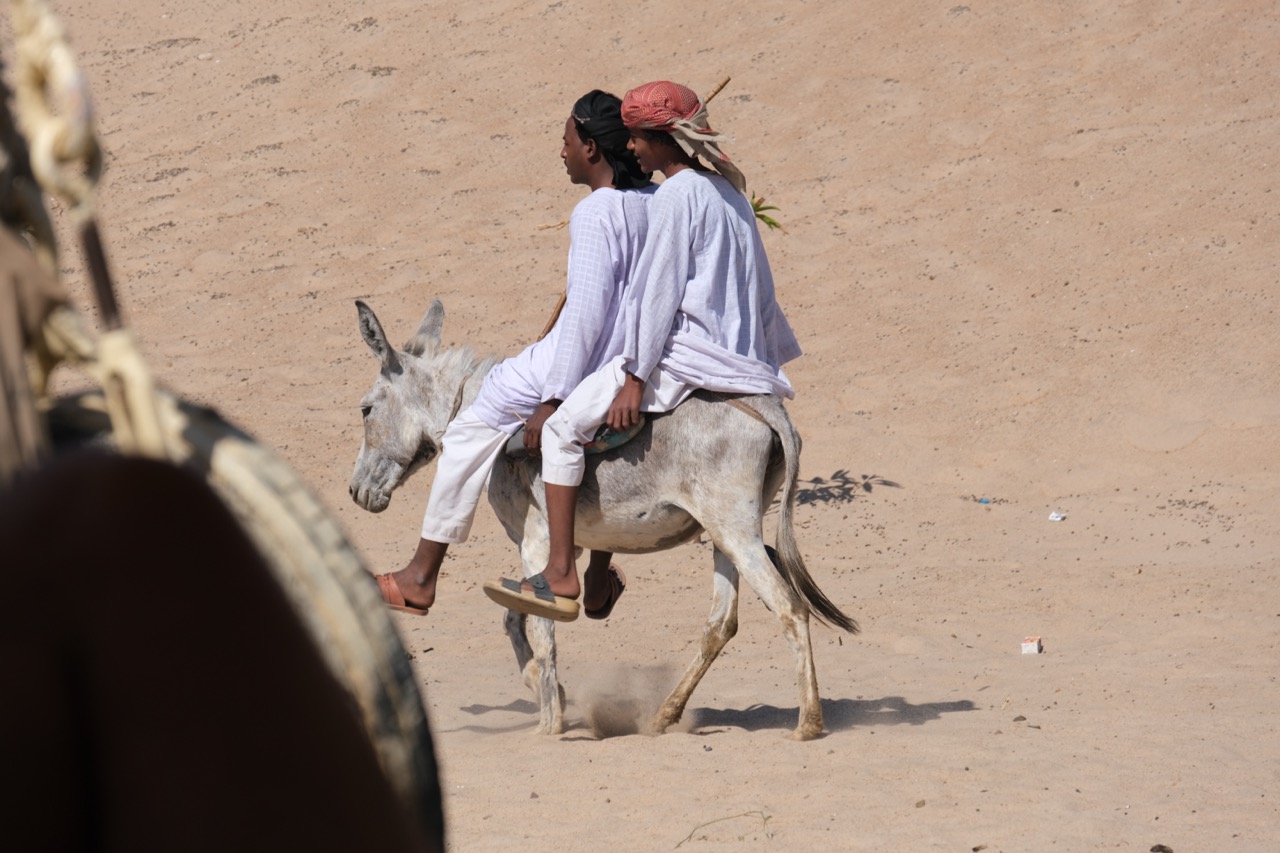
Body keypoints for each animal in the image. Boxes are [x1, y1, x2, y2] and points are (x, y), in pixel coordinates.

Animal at [348, 299, 858, 740]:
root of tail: (768, 408)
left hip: (736, 531)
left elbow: (540, 626)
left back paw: (808, 723)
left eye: (366, 409)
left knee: (790, 609)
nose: (355, 492)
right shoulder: (562, 546)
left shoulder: (536, 540)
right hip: (723, 537)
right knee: (720, 625)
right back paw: (664, 715)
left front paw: (549, 723)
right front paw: (545, 688)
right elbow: (515, 614)